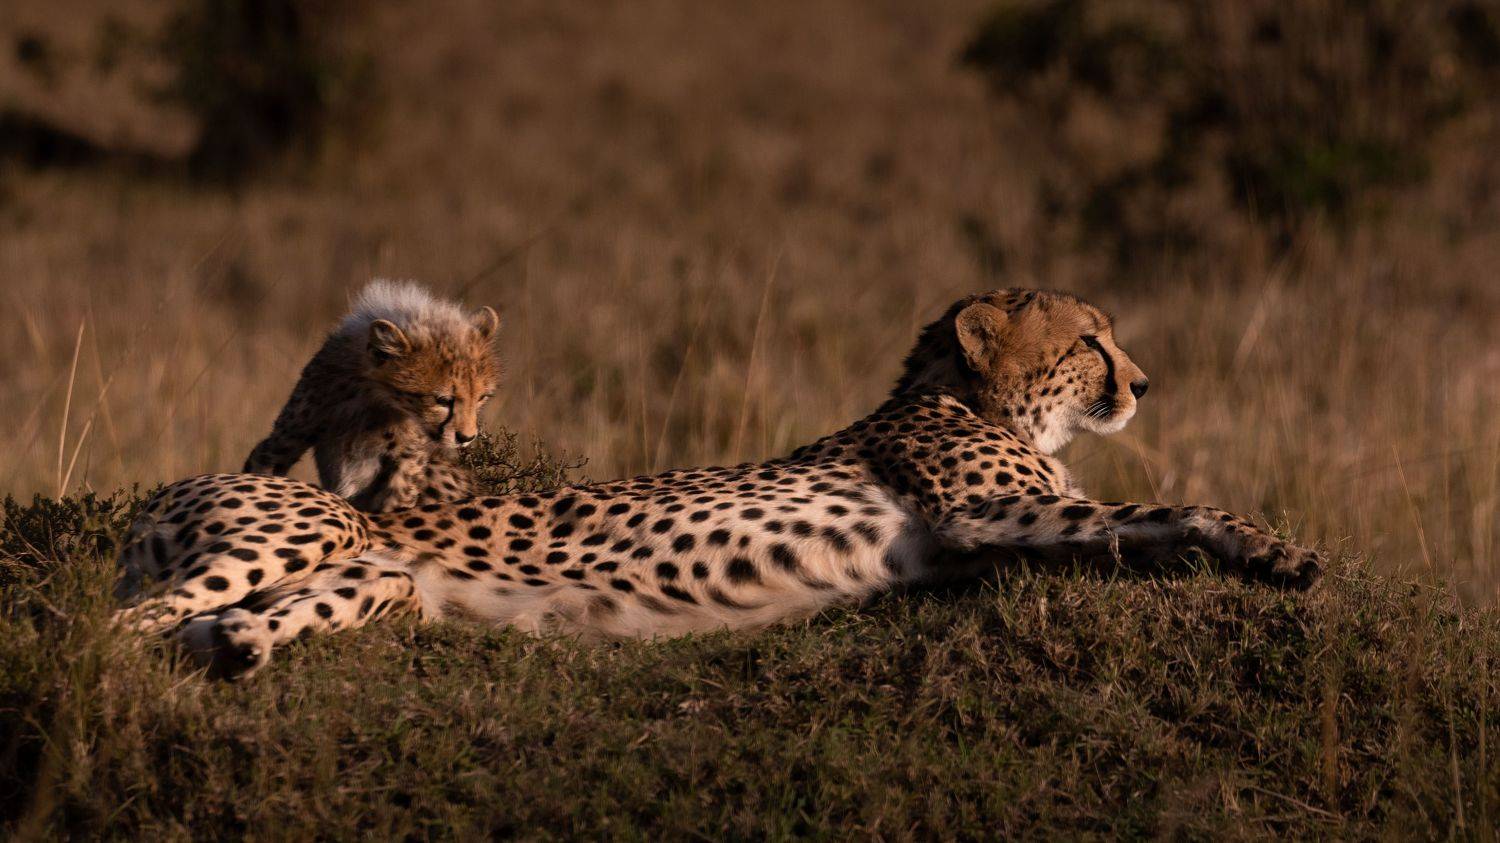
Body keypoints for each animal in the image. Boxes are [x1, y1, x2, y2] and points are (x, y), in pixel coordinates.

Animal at [242, 279, 500, 513]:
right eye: (443, 400)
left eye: (481, 398)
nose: (466, 437)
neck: (373, 399)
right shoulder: (288, 437)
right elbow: (262, 468)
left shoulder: (408, 461)